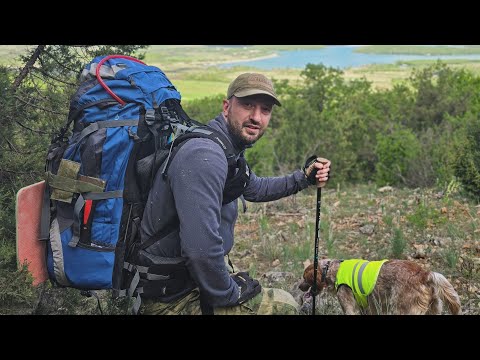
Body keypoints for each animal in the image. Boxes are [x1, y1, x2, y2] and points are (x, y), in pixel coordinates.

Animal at [300, 258, 462, 316]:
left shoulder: (349, 306)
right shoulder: (368, 308)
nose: (300, 287)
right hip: (432, 309)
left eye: (304, 278)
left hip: (404, 310)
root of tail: (425, 274)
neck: (332, 270)